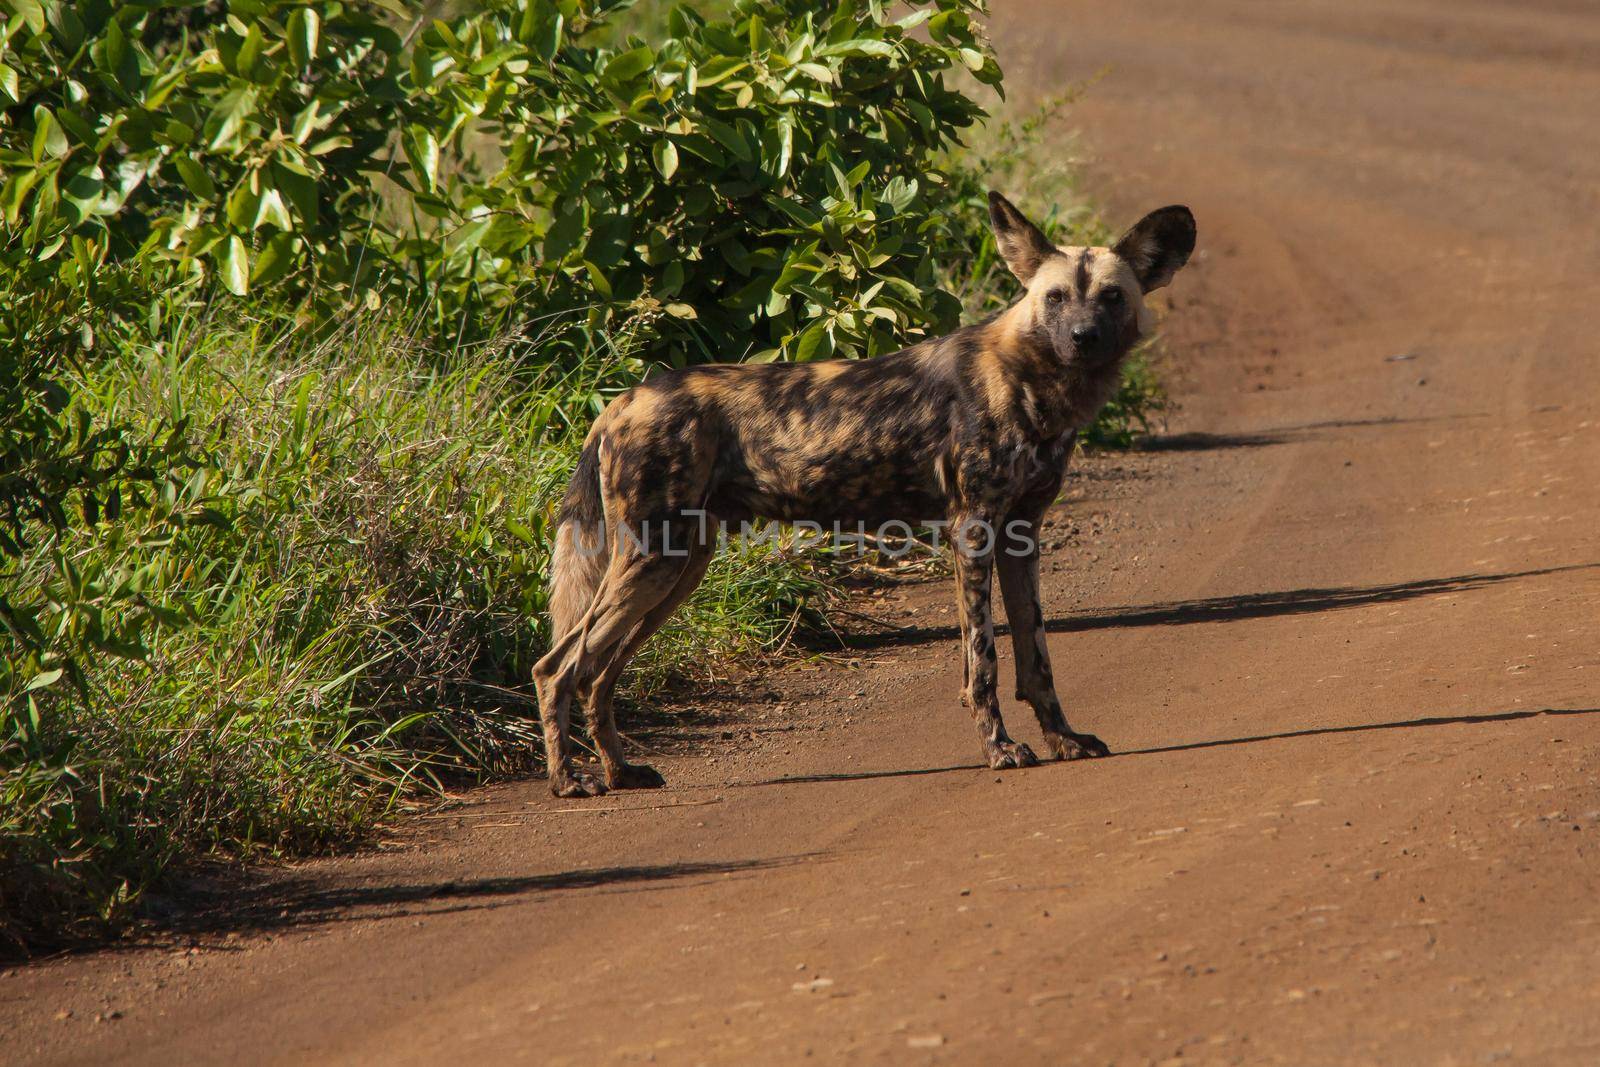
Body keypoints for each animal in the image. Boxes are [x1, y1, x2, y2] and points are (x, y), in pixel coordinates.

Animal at [531, 191, 1196, 796]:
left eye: (1112, 297)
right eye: (1055, 298)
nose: (1083, 337)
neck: (1033, 382)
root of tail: (621, 401)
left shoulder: (1020, 535)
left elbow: (1036, 659)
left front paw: (1063, 739)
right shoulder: (974, 530)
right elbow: (982, 662)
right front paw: (1000, 749)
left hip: (678, 567)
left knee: (597, 673)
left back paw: (620, 772)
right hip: (652, 559)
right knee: (557, 667)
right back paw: (569, 781)